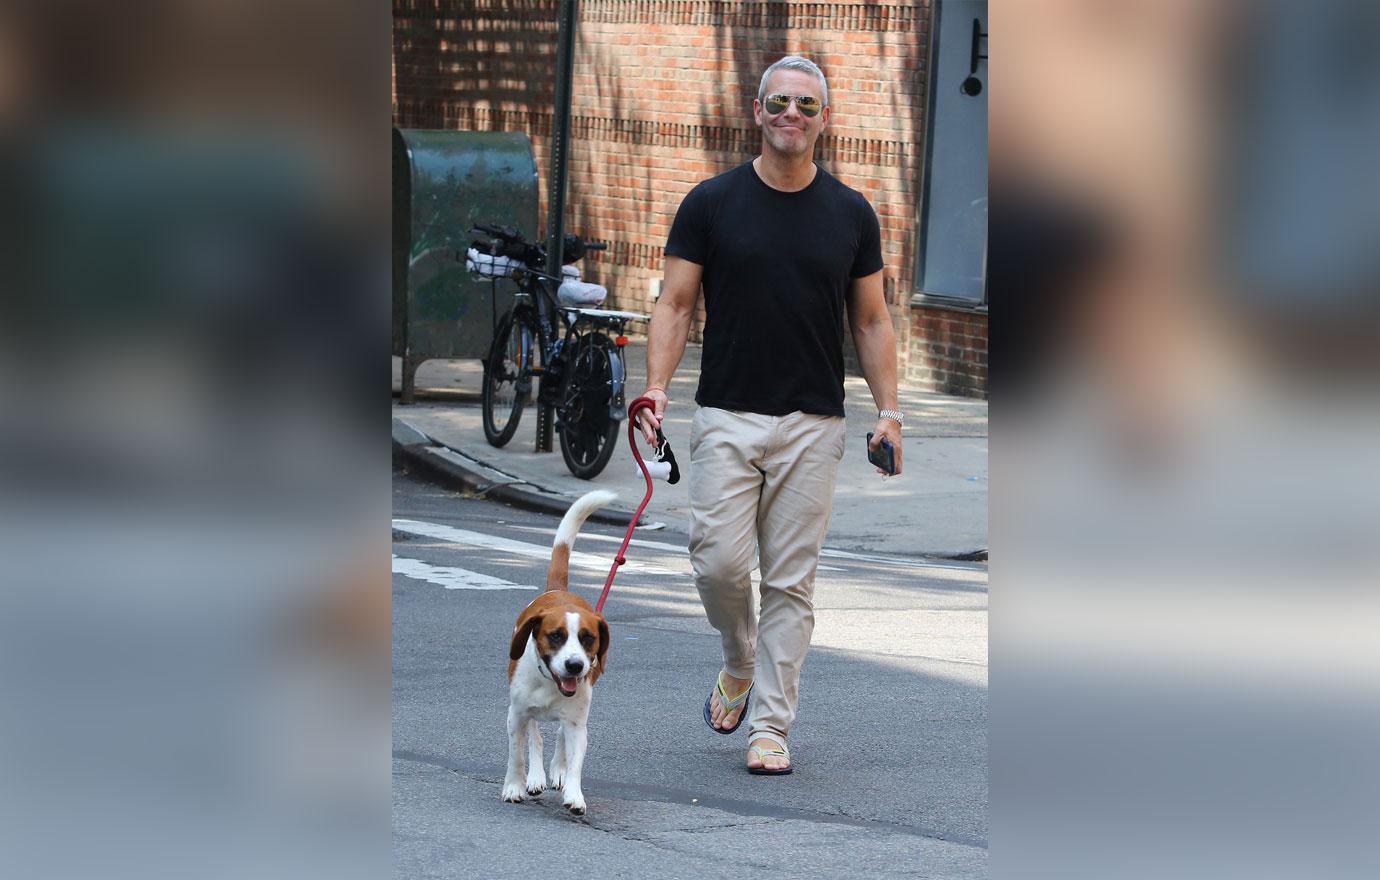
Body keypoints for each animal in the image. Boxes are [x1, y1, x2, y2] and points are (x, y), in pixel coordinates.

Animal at [502, 485, 615, 816]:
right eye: (556, 636)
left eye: (588, 638)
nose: (575, 665)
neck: (551, 684)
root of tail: (558, 590)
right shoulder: (516, 714)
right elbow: (517, 755)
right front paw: (514, 786)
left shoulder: (578, 722)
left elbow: (575, 757)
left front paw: (574, 792)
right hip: (525, 711)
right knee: (535, 737)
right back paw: (536, 776)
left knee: (562, 736)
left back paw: (558, 771)